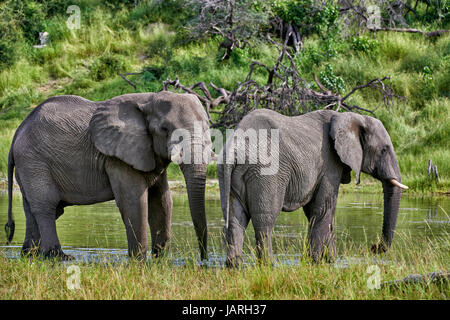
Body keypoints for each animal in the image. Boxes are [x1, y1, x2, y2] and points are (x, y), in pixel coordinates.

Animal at [4, 90, 213, 260]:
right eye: (164, 129)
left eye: (207, 127)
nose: (203, 260)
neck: (148, 100)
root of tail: (18, 131)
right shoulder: (118, 156)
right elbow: (133, 202)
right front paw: (139, 261)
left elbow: (162, 202)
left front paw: (160, 260)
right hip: (34, 161)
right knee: (46, 206)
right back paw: (58, 257)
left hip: (29, 165)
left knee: (37, 210)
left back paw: (29, 255)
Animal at [218, 109, 408, 266]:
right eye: (384, 150)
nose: (374, 247)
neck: (351, 116)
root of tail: (235, 145)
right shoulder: (329, 164)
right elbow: (323, 209)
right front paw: (314, 262)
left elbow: (317, 212)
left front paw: (330, 261)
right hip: (265, 173)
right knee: (265, 220)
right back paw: (269, 265)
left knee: (235, 218)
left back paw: (234, 265)